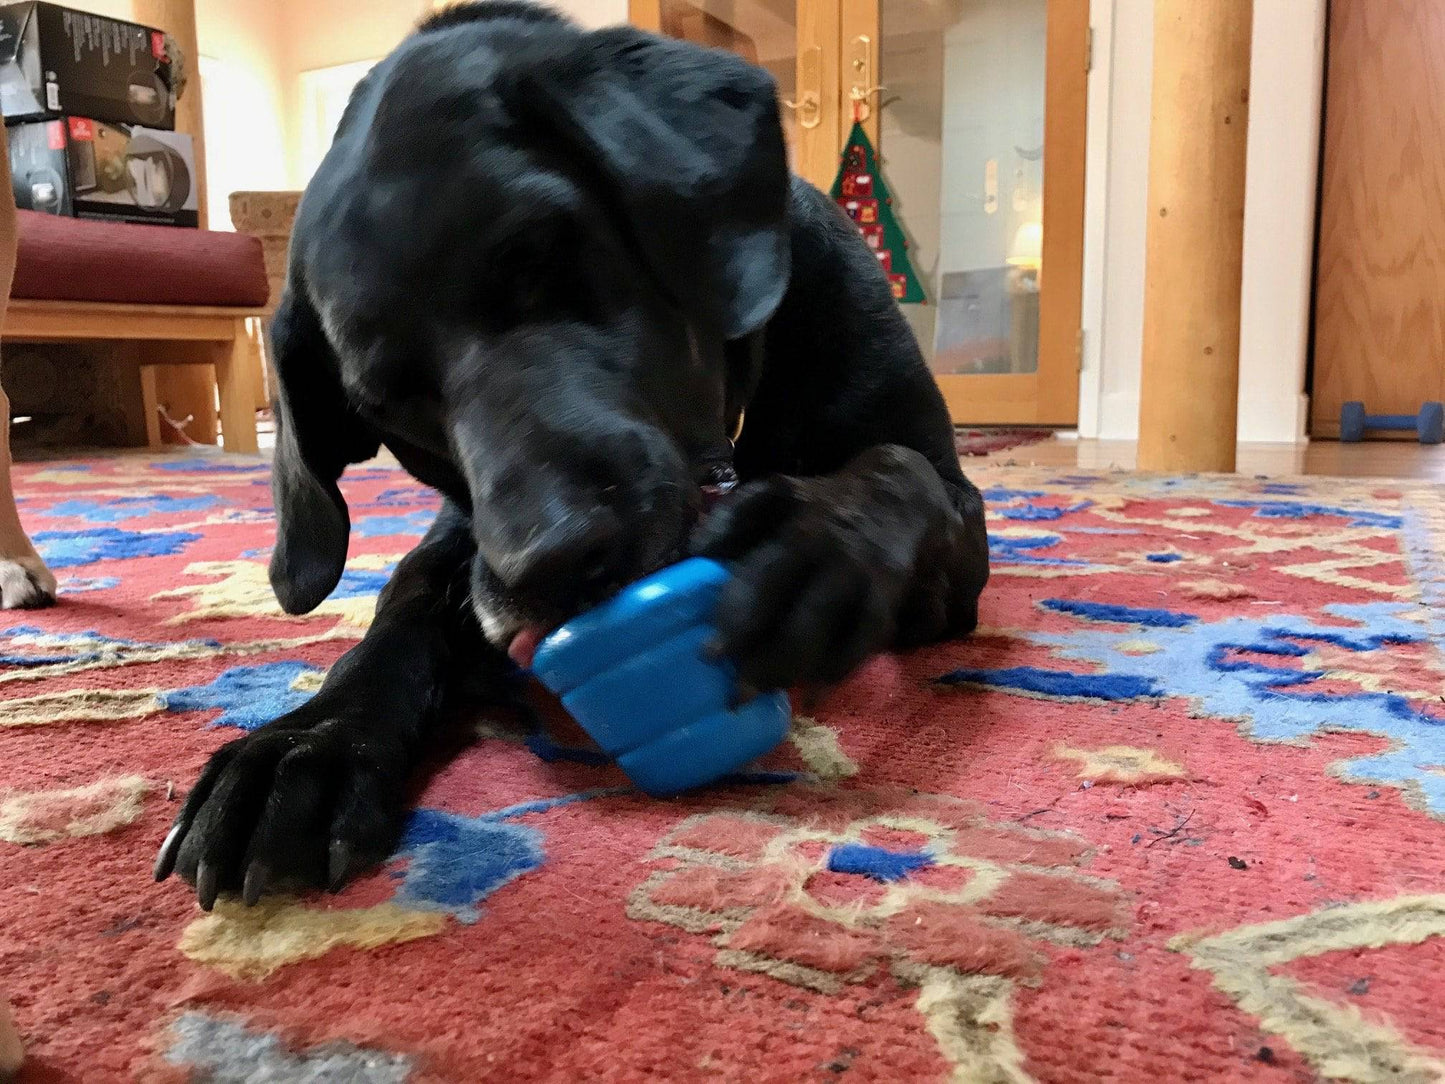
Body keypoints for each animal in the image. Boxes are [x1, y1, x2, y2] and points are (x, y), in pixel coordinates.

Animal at [158, 4, 994, 913]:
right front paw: (306, 743)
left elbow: (899, 472)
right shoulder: (464, 540)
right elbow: (401, 606)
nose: (550, 564)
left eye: (546, 259)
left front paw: (806, 541)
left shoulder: (952, 514)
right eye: (385, 404)